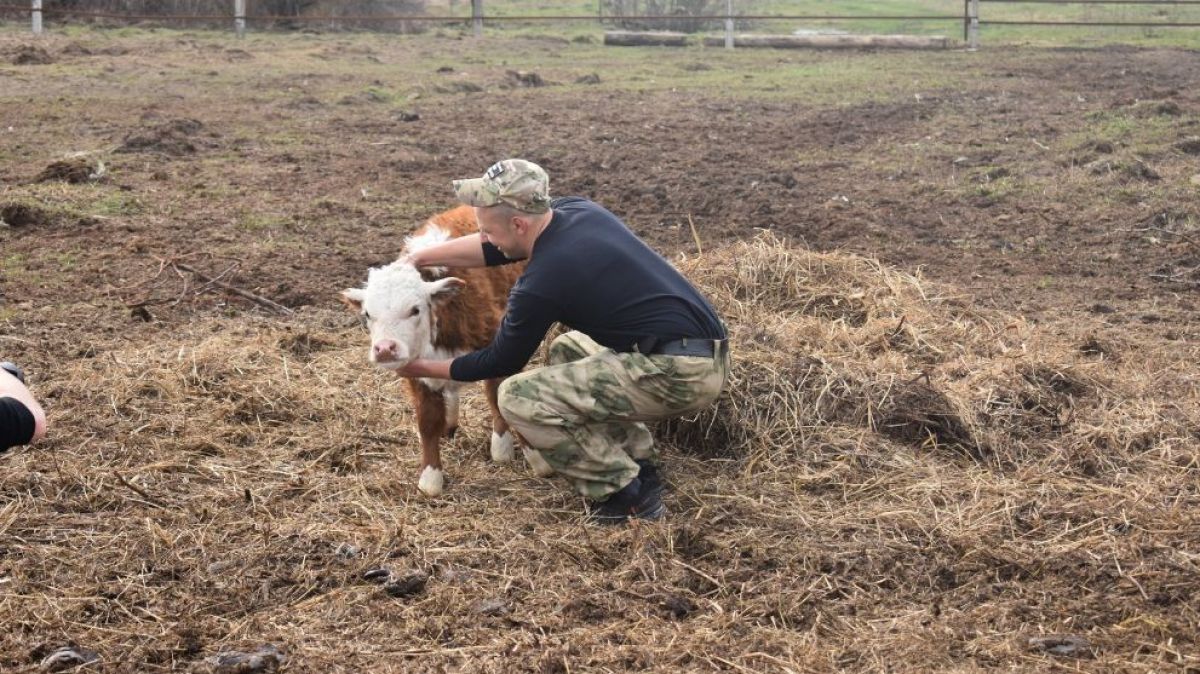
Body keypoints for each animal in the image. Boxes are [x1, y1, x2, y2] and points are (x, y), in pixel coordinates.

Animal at [340, 205, 549, 494]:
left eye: (415, 309)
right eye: (368, 314)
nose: (384, 349)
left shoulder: (497, 347)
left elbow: (497, 397)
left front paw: (523, 453)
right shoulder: (417, 375)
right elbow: (427, 421)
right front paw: (431, 478)